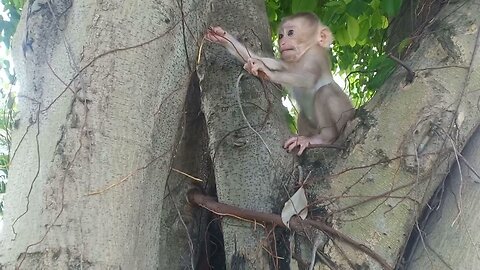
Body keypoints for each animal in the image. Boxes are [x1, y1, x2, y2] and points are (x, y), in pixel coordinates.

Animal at [204, 13, 354, 156]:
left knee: (325, 92)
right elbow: (269, 61)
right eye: (281, 35)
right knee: (304, 114)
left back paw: (324, 138)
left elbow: (308, 78)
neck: (303, 55)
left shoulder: (315, 57)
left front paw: (267, 73)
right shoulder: (288, 61)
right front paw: (222, 36)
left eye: (291, 33)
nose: (282, 42)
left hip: (346, 114)